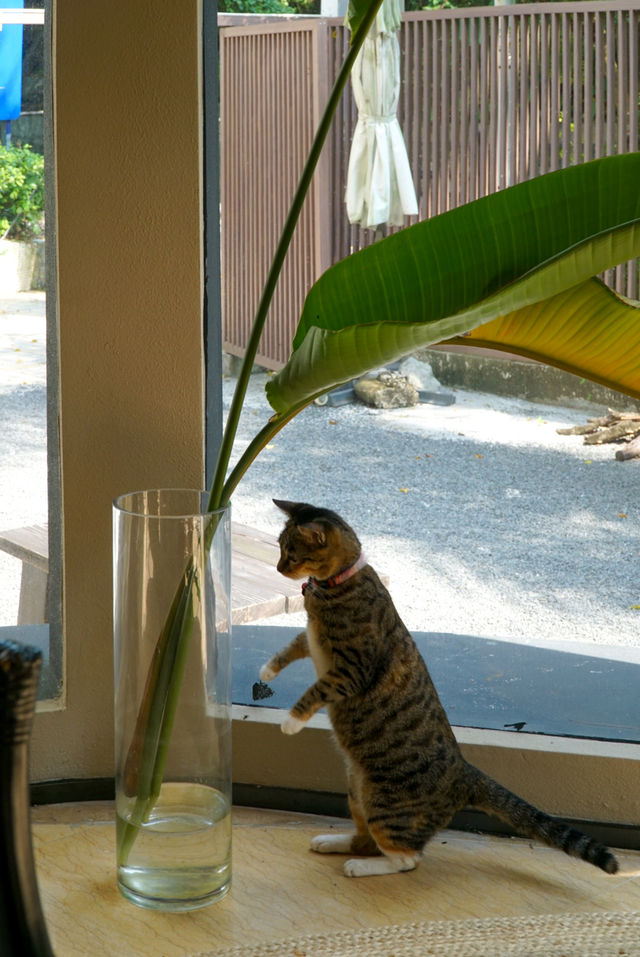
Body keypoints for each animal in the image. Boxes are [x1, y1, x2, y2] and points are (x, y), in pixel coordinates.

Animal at [259, 499, 619, 878]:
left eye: (290, 553)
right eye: (281, 549)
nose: (279, 567)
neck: (334, 585)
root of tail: (464, 773)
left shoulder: (351, 670)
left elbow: (317, 688)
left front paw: (291, 721)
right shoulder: (311, 642)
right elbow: (291, 647)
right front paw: (268, 671)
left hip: (386, 807)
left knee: (405, 859)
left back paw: (361, 866)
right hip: (358, 792)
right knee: (366, 839)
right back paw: (333, 842)